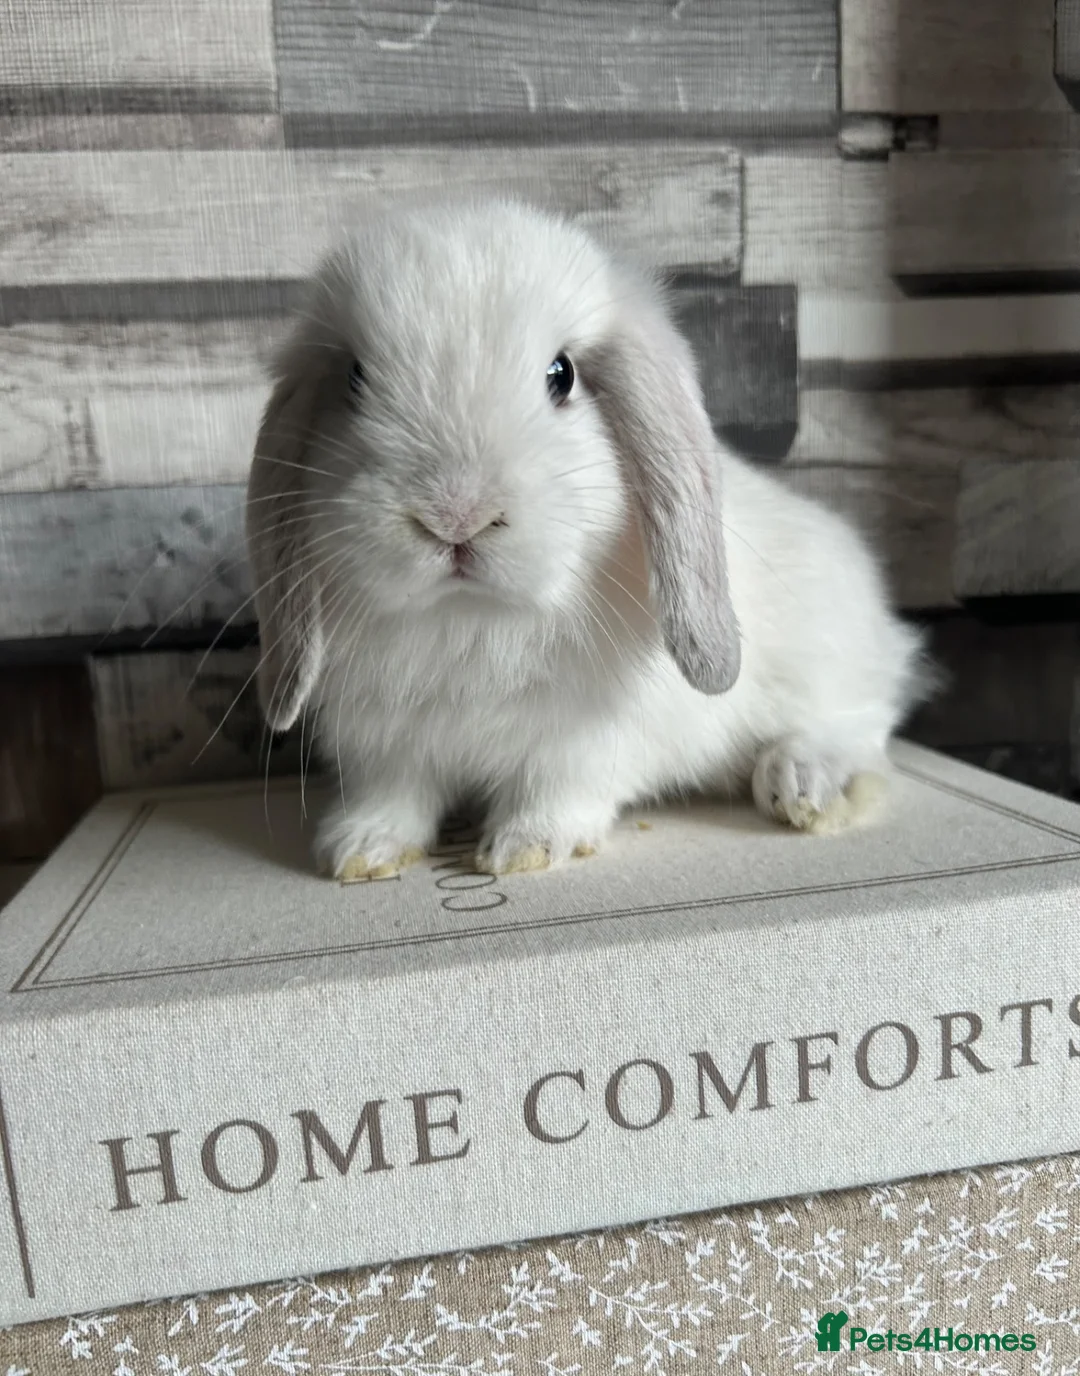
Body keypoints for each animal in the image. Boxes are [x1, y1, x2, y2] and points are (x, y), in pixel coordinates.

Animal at [245, 197, 935, 880]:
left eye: (562, 375)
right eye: (355, 379)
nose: (456, 516)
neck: (470, 619)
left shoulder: (586, 741)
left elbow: (554, 787)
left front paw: (525, 847)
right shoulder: (387, 745)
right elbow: (395, 794)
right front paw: (360, 851)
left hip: (833, 657)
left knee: (863, 720)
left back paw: (807, 783)